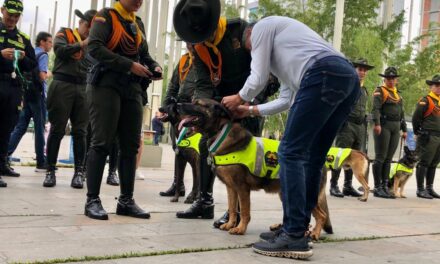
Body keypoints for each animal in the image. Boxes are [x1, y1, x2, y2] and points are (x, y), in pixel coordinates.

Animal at [177, 98, 332, 239]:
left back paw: (314, 234)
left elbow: (244, 211)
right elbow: (232, 209)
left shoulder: (242, 188)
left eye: (198, 103)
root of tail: (320, 163)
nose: (177, 104)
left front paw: (240, 229)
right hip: (284, 193)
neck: (220, 132)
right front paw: (230, 224)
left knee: (321, 215)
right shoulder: (231, 188)